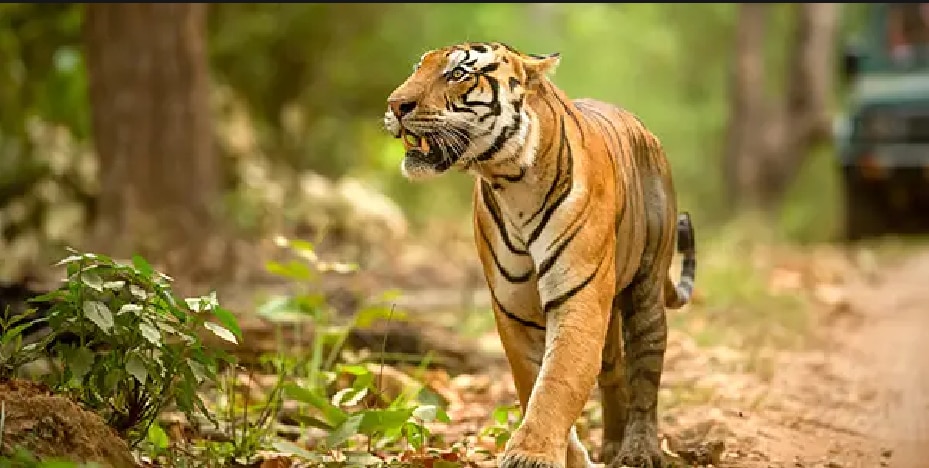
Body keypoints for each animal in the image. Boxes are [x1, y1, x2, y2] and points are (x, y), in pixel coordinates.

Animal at [384, 42, 696, 466]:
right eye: (419, 67)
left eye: (458, 73)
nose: (395, 104)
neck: (511, 180)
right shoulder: (514, 307)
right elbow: (533, 381)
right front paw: (566, 455)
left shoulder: (579, 297)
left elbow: (558, 381)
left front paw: (531, 453)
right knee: (612, 369)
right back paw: (611, 445)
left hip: (645, 291)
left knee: (645, 371)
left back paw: (638, 450)